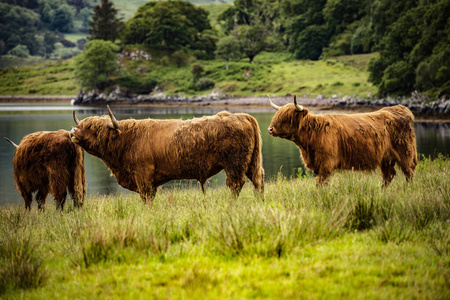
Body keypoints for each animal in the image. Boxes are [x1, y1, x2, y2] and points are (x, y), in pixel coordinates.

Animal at [68, 105, 262, 202]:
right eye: (82, 125)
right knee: (258, 179)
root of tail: (242, 115)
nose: (73, 132)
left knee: (235, 184)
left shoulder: (143, 174)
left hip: (235, 163)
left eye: (94, 128)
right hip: (251, 161)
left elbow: (145, 196)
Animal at [268, 95, 418, 186]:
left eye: (286, 117)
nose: (270, 129)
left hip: (405, 153)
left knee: (409, 173)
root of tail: (400, 108)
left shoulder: (326, 164)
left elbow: (320, 183)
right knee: (389, 176)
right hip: (386, 159)